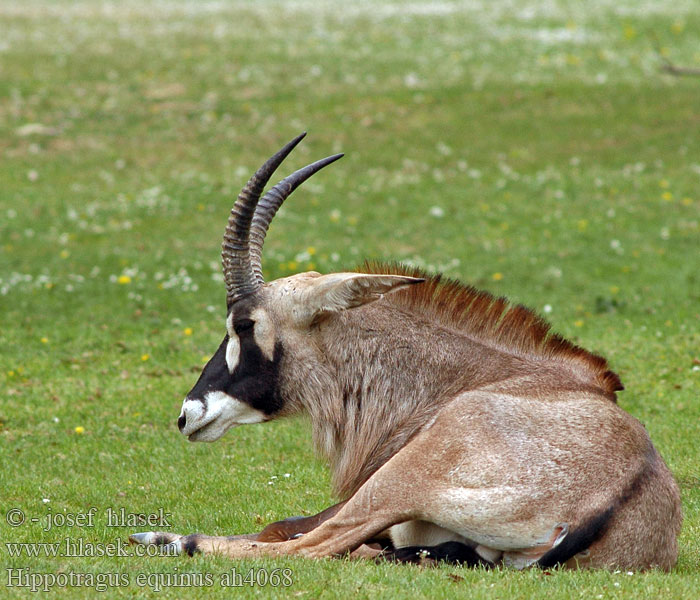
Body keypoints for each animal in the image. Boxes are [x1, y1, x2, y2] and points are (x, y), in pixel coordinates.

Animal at [130, 134, 680, 568]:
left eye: (244, 324)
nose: (187, 414)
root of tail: (617, 490)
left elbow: (283, 527)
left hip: (397, 480)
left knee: (307, 547)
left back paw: (169, 539)